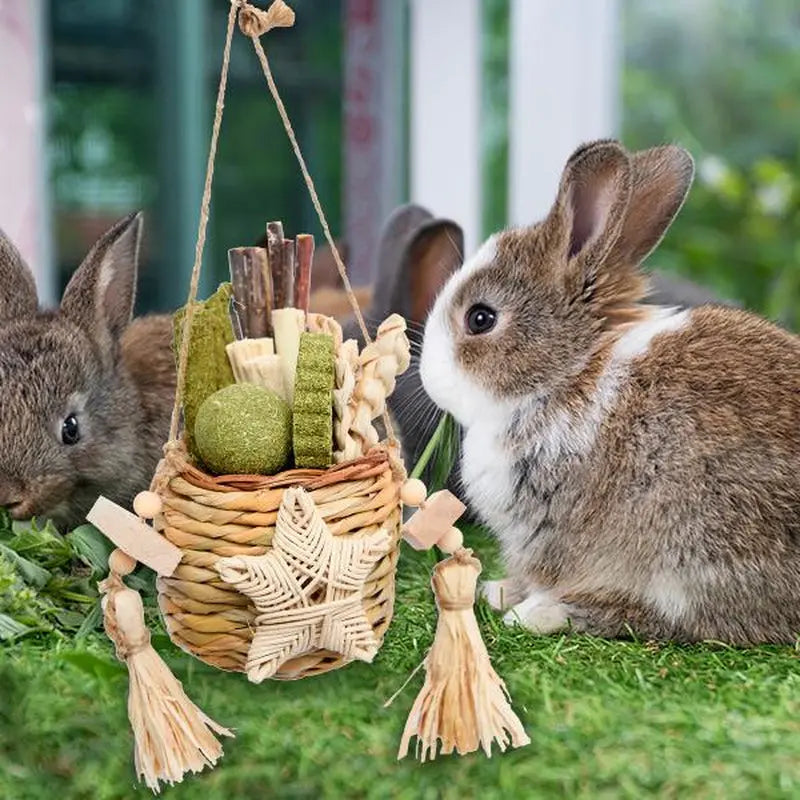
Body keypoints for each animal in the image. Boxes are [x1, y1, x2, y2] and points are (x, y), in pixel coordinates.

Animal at [419, 138, 800, 646]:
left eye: (481, 318)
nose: (426, 375)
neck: (568, 373)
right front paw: (496, 589)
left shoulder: (551, 530)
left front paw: (516, 602)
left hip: (696, 549)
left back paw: (542, 614)